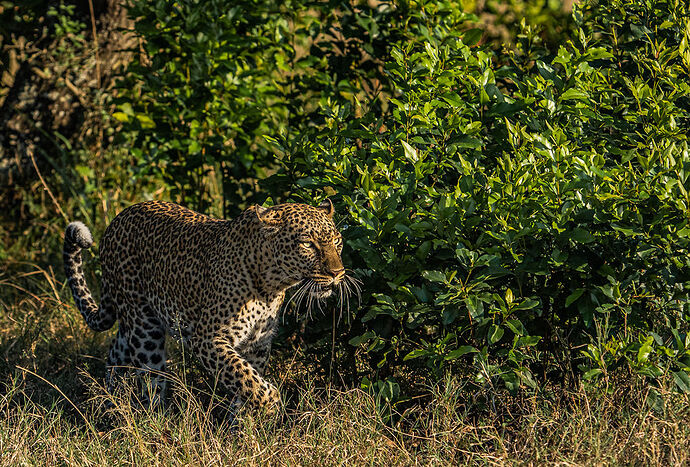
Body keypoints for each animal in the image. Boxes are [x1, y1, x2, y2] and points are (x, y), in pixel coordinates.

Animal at [63, 199, 354, 412]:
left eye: (336, 241)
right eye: (307, 244)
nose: (337, 273)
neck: (272, 285)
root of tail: (116, 220)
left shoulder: (257, 345)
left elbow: (245, 383)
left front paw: (242, 432)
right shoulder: (208, 339)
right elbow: (246, 379)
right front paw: (270, 403)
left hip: (137, 320)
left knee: (117, 351)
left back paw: (109, 402)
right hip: (144, 328)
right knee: (151, 379)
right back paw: (157, 423)